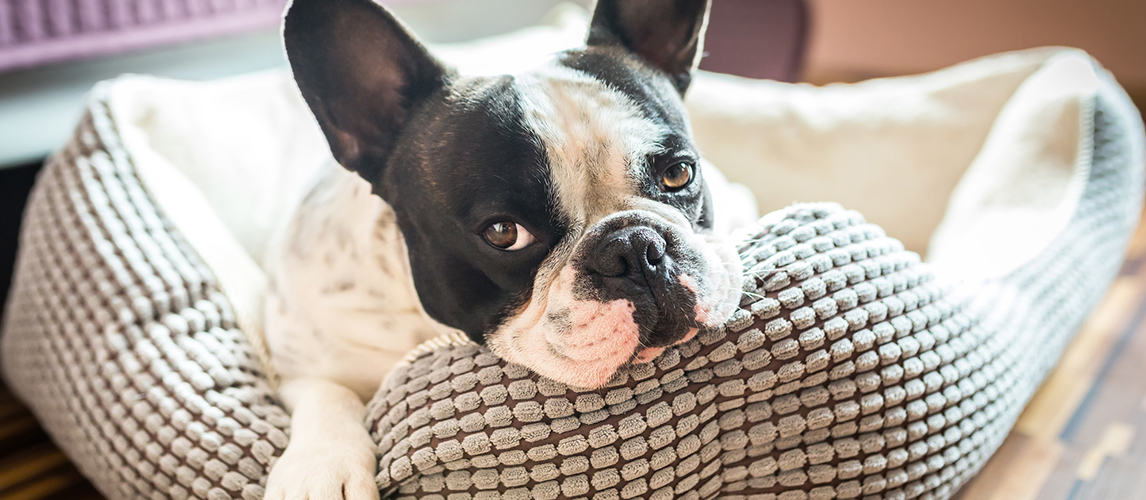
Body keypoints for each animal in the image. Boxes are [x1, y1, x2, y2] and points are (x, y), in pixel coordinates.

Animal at [263, 0, 751, 495]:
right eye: (503, 233)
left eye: (679, 173)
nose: (634, 248)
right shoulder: (296, 361)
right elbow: (328, 390)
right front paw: (320, 469)